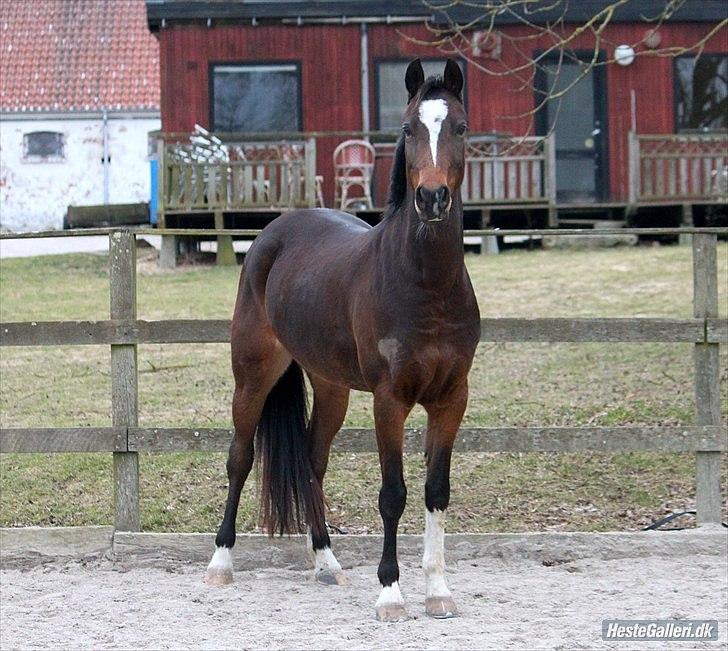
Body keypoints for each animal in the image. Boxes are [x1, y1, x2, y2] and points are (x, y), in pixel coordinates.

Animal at [203, 59, 484, 620]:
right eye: (408, 129)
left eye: (460, 128)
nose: (432, 198)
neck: (426, 286)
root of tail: (272, 235)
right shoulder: (389, 400)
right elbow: (393, 493)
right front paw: (390, 592)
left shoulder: (451, 399)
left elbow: (436, 491)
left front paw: (438, 591)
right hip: (252, 377)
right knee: (240, 458)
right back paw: (221, 562)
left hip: (331, 387)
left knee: (313, 461)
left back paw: (326, 562)